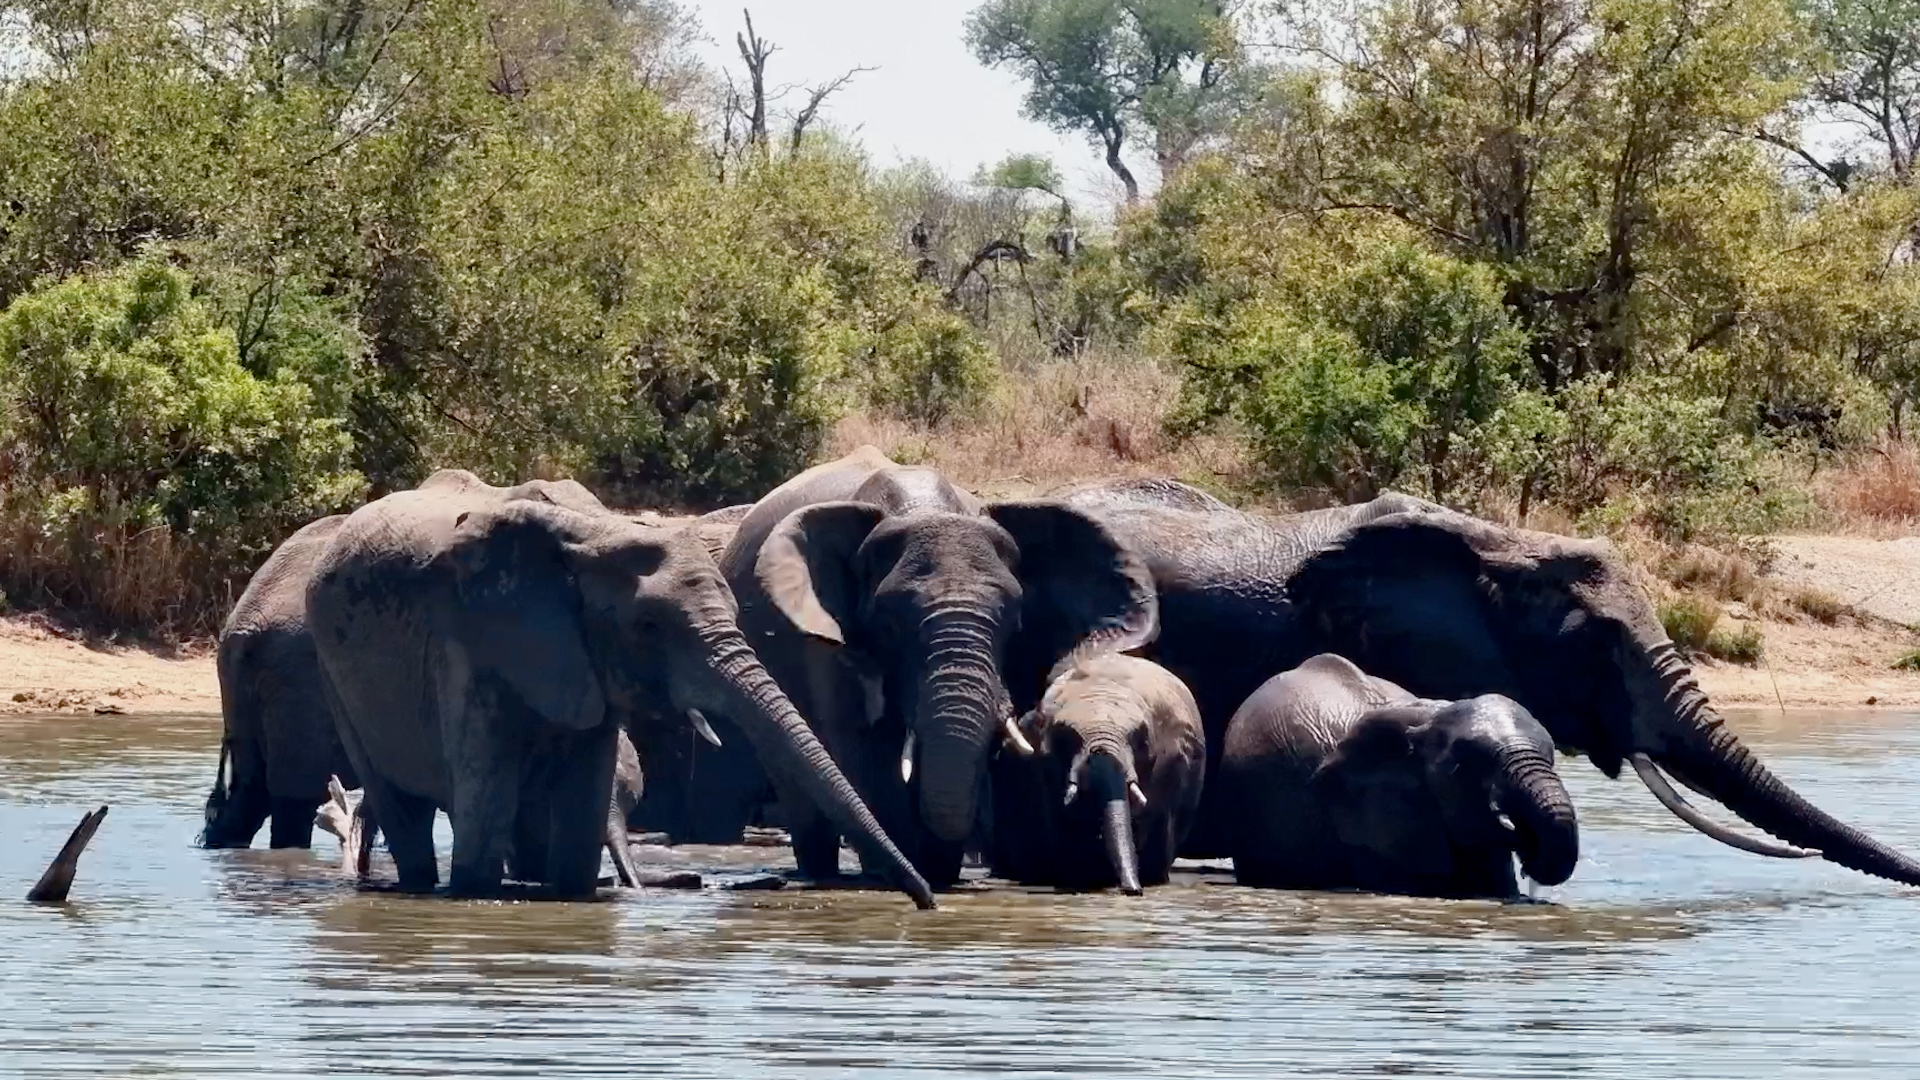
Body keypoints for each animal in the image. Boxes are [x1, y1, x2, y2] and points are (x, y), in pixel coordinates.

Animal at [305, 485, 936, 905]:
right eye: (649, 627)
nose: (926, 899)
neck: (596, 535)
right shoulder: (467, 645)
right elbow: (482, 822)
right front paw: (479, 891)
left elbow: (581, 820)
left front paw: (569, 894)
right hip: (334, 674)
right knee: (398, 805)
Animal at [706, 446, 1157, 889]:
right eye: (888, 625)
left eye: (1015, 623)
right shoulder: (826, 643)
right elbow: (865, 751)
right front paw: (901, 870)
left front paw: (935, 869)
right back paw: (819, 872)